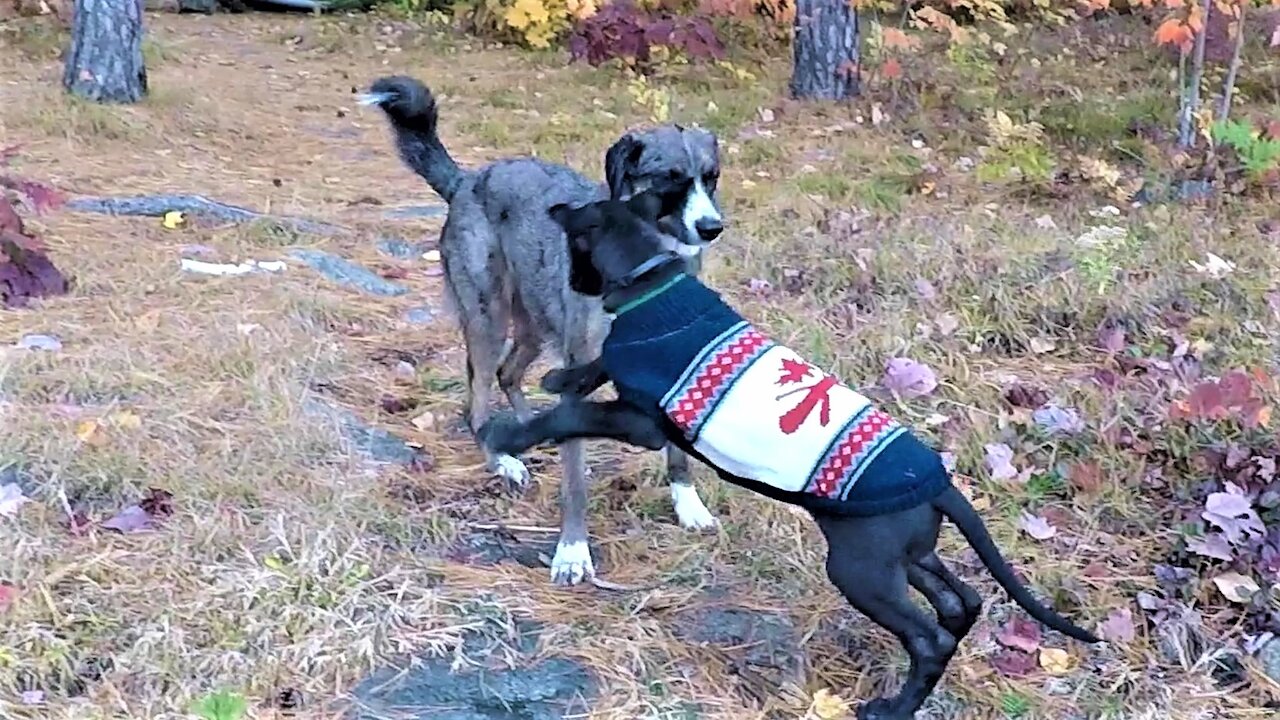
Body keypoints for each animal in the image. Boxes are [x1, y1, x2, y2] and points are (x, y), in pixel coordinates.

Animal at [476, 189, 1095, 717]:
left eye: (573, 247)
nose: (571, 282)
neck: (654, 282)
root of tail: (940, 484)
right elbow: (597, 364)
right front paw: (563, 375)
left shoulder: (642, 422)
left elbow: (573, 415)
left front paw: (510, 437)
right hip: (907, 556)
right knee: (961, 603)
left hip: (861, 569)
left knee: (930, 637)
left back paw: (893, 709)